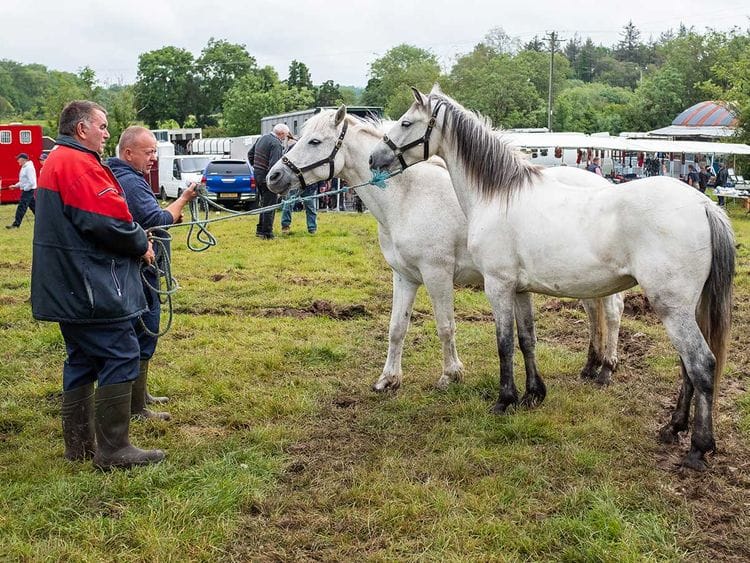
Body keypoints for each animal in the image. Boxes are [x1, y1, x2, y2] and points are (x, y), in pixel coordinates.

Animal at [265, 106, 624, 395]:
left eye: (315, 142)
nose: (274, 176)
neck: (407, 197)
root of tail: (605, 184)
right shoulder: (404, 277)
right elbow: (396, 328)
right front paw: (388, 379)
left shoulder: (436, 274)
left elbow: (445, 326)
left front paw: (451, 374)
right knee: (594, 312)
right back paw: (591, 366)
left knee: (612, 312)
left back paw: (606, 369)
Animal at [369, 86, 735, 471]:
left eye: (406, 122)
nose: (374, 158)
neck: (497, 195)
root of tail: (704, 204)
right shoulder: (519, 290)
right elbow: (527, 339)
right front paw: (533, 394)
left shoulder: (497, 286)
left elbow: (503, 344)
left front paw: (504, 401)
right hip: (687, 309)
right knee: (687, 366)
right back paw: (673, 427)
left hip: (672, 308)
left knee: (701, 365)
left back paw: (697, 448)